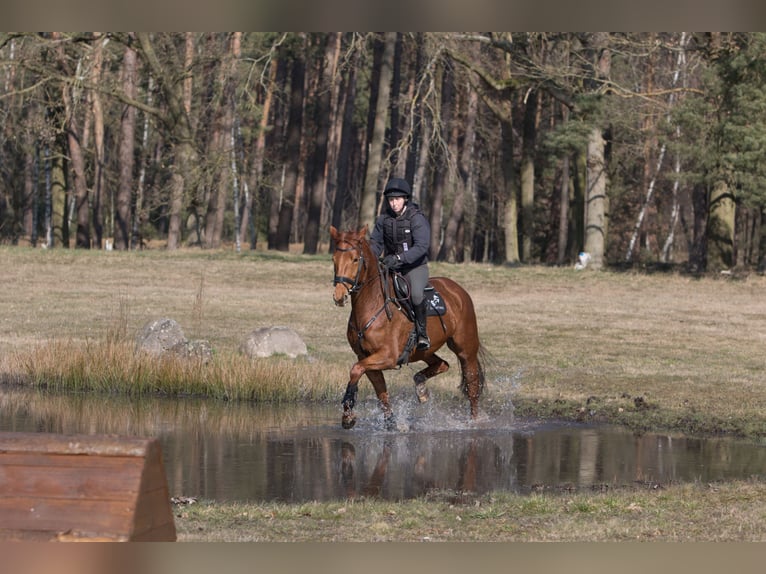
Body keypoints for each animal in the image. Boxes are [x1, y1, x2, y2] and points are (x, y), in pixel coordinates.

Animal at [330, 227, 486, 430]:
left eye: (355, 259)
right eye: (333, 259)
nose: (339, 296)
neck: (372, 304)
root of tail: (457, 290)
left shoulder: (387, 356)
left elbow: (355, 370)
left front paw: (348, 414)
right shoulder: (366, 358)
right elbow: (381, 393)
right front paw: (389, 423)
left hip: (465, 349)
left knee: (472, 385)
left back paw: (474, 421)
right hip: (423, 351)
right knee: (442, 364)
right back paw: (421, 388)